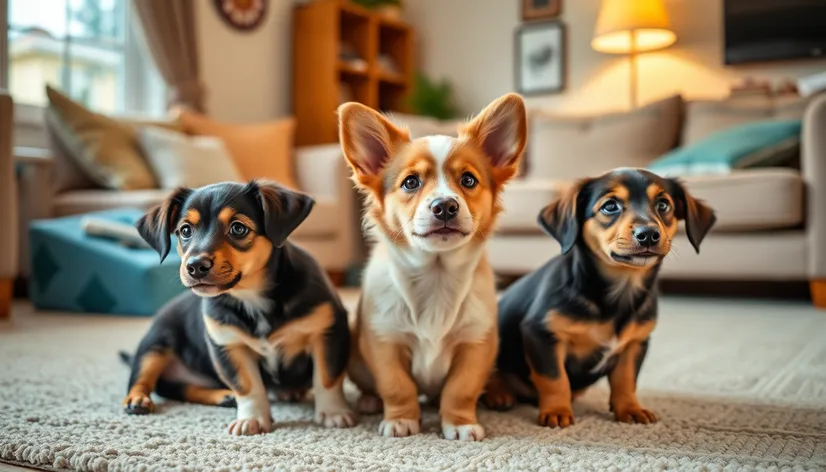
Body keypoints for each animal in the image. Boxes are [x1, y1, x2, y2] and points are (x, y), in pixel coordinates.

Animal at [122, 180, 354, 436]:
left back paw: (227, 396)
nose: (195, 266)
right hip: (154, 345)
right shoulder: (228, 345)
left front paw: (333, 413)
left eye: (238, 228)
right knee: (143, 379)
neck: (251, 297)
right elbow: (247, 386)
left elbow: (327, 378)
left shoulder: (327, 333)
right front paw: (251, 419)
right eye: (185, 231)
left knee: (180, 389)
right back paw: (137, 400)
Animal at [336, 94, 524, 440]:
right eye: (411, 182)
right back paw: (369, 401)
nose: (445, 206)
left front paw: (460, 423)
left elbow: (461, 390)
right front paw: (401, 420)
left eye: (468, 180)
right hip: (356, 362)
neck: (436, 275)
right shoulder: (385, 342)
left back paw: (499, 394)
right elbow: (397, 387)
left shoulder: (476, 344)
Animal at [482, 169, 716, 428]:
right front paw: (557, 411)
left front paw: (630, 408)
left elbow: (626, 380)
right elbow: (554, 379)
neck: (619, 292)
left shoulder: (635, 344)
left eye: (663, 205)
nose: (648, 234)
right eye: (610, 206)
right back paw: (499, 394)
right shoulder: (541, 334)